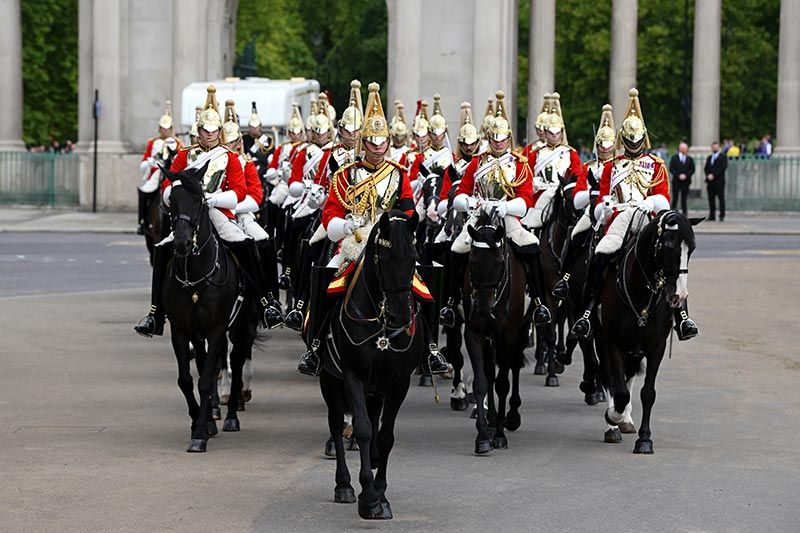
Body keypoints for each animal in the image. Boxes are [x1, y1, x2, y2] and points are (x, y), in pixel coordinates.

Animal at [162, 164, 260, 450]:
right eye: (172, 201)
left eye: (199, 201)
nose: (182, 244)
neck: (195, 275)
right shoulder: (181, 331)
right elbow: (186, 380)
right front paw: (201, 422)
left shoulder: (217, 329)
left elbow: (205, 380)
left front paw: (199, 435)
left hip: (243, 327)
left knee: (236, 363)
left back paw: (231, 415)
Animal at [318, 210, 428, 516]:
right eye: (384, 258)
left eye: (414, 257)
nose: (401, 318)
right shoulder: (352, 375)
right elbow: (365, 429)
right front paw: (368, 497)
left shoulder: (398, 381)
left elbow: (386, 435)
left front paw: (381, 492)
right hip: (330, 379)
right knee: (335, 422)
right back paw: (343, 485)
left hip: (376, 387)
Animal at [462, 209, 532, 454]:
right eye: (472, 262)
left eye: (500, 263)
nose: (484, 309)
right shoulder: (474, 333)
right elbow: (482, 382)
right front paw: (483, 436)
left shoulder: (508, 336)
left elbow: (503, 384)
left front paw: (500, 435)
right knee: (490, 372)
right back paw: (492, 420)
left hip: (520, 332)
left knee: (513, 367)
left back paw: (511, 416)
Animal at [592, 210, 700, 450]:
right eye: (668, 244)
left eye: (692, 248)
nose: (680, 295)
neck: (640, 292)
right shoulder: (612, 342)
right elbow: (618, 391)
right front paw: (613, 417)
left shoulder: (655, 347)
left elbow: (648, 393)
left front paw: (644, 439)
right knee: (609, 377)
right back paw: (614, 425)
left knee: (629, 375)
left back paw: (626, 420)